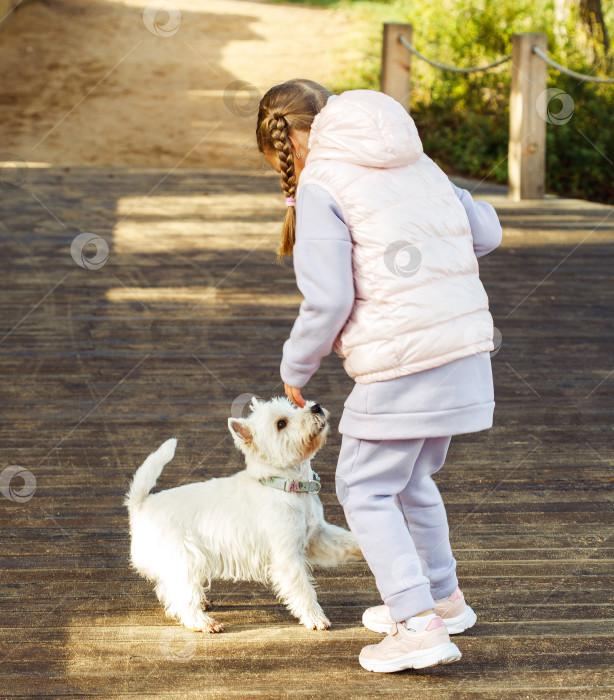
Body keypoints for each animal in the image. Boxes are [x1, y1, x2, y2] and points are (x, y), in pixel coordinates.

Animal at [127, 396, 364, 632]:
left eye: (293, 406)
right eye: (281, 424)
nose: (316, 407)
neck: (285, 486)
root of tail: (140, 505)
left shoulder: (317, 537)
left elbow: (346, 541)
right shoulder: (287, 555)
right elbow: (302, 588)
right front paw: (315, 618)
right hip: (186, 558)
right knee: (180, 597)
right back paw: (204, 622)